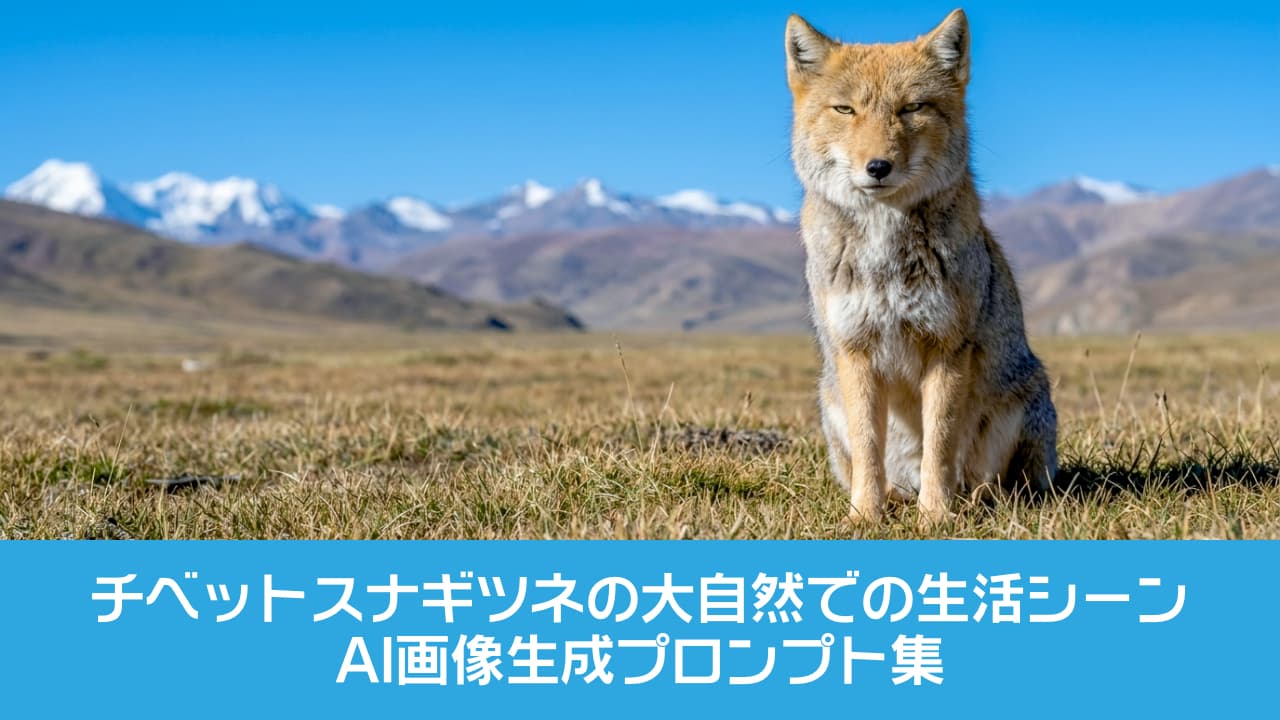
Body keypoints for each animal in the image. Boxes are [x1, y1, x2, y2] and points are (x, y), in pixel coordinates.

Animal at [784, 9, 1058, 525]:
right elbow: (869, 448)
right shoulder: (855, 351)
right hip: (829, 401)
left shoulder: (946, 347)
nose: (878, 167)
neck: (883, 247)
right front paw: (864, 516)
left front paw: (935, 516)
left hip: (1021, 410)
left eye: (912, 108)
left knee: (994, 483)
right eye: (845, 110)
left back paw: (968, 501)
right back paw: (894, 500)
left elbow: (941, 443)